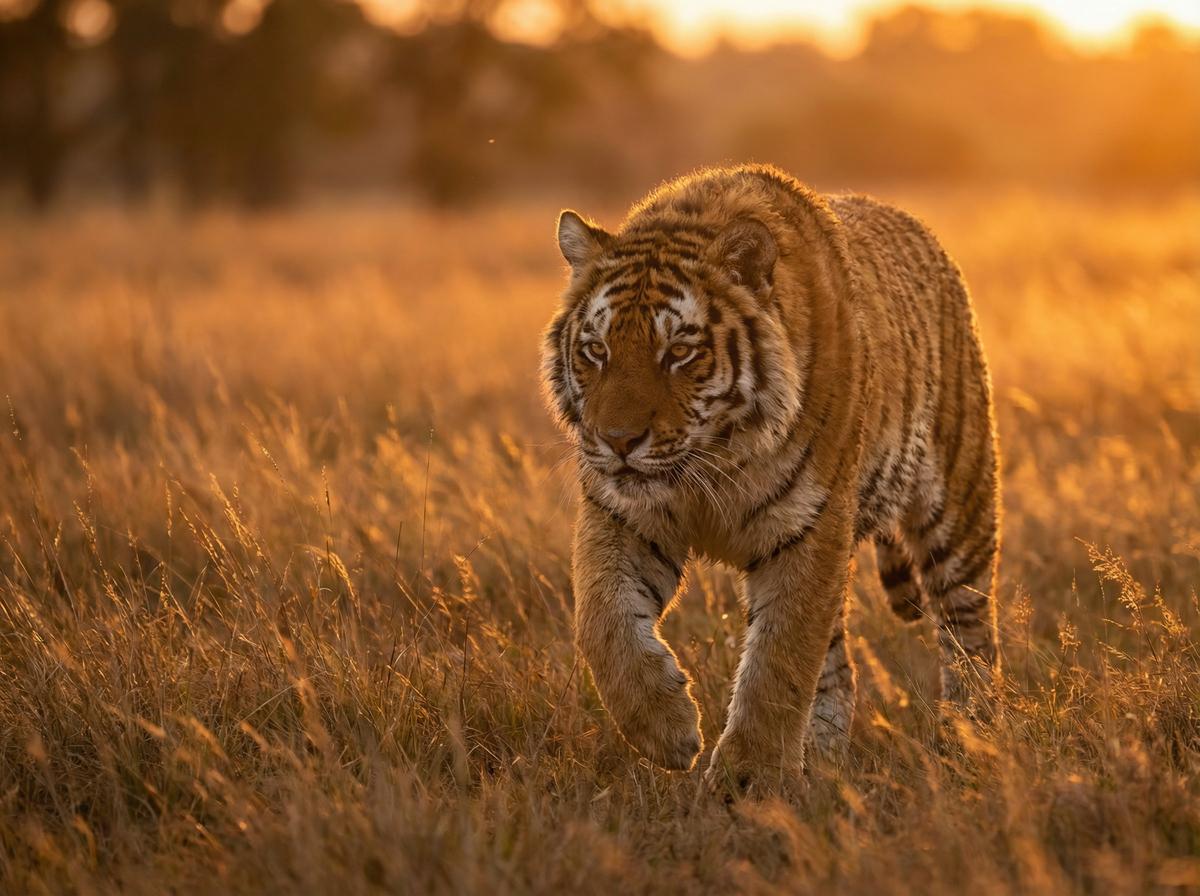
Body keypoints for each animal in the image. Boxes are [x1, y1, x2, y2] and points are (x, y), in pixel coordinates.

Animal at [540, 164, 1000, 793]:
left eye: (679, 352)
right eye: (595, 350)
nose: (617, 441)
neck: (714, 462)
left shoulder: (811, 527)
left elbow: (779, 661)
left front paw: (750, 779)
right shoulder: (622, 515)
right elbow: (601, 618)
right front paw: (666, 730)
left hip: (959, 502)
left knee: (970, 631)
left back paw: (970, 738)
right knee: (840, 669)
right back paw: (823, 760)